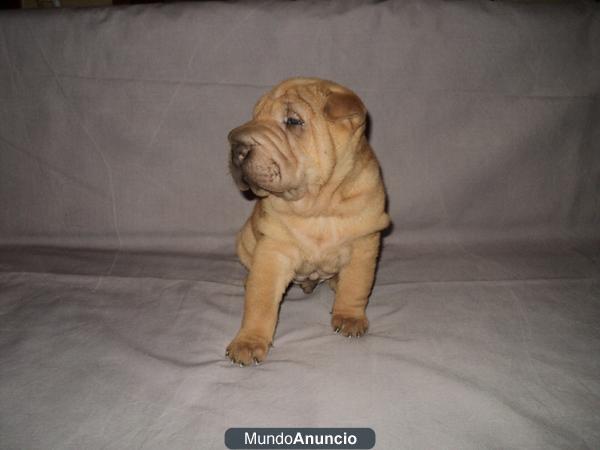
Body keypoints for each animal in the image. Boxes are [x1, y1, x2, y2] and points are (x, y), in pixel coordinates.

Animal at [225, 77, 390, 366]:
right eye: (255, 117)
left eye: (293, 121)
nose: (236, 146)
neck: (318, 205)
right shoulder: (273, 249)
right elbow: (260, 300)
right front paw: (249, 341)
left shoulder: (364, 243)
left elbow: (356, 284)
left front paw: (350, 317)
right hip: (245, 239)